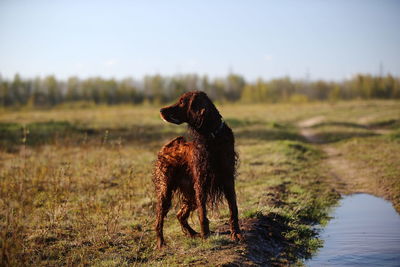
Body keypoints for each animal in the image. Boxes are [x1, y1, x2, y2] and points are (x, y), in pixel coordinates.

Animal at [152, 91, 241, 249]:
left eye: (182, 102)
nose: (161, 110)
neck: (212, 136)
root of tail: (166, 147)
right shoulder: (201, 182)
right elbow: (202, 214)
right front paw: (206, 236)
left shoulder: (228, 179)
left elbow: (233, 209)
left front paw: (235, 233)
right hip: (165, 189)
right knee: (159, 220)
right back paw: (161, 243)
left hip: (190, 193)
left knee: (180, 215)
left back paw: (192, 233)